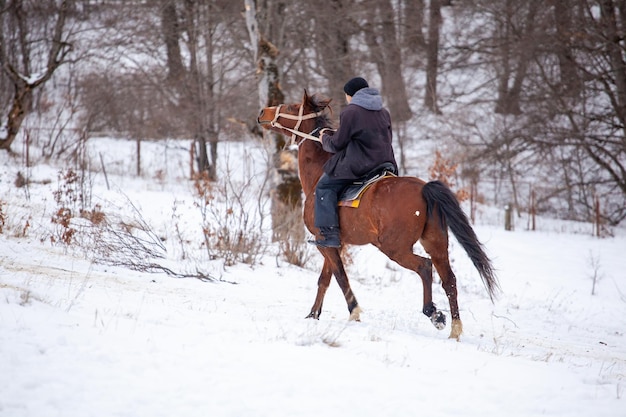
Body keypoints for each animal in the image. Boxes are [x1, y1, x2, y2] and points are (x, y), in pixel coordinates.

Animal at [255, 90, 498, 338]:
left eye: (292, 107)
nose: (263, 112)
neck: (318, 174)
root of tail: (424, 189)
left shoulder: (325, 242)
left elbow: (340, 276)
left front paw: (354, 310)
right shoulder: (334, 243)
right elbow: (325, 279)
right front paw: (313, 315)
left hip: (393, 247)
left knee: (424, 267)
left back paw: (433, 313)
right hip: (436, 243)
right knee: (449, 280)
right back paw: (454, 329)